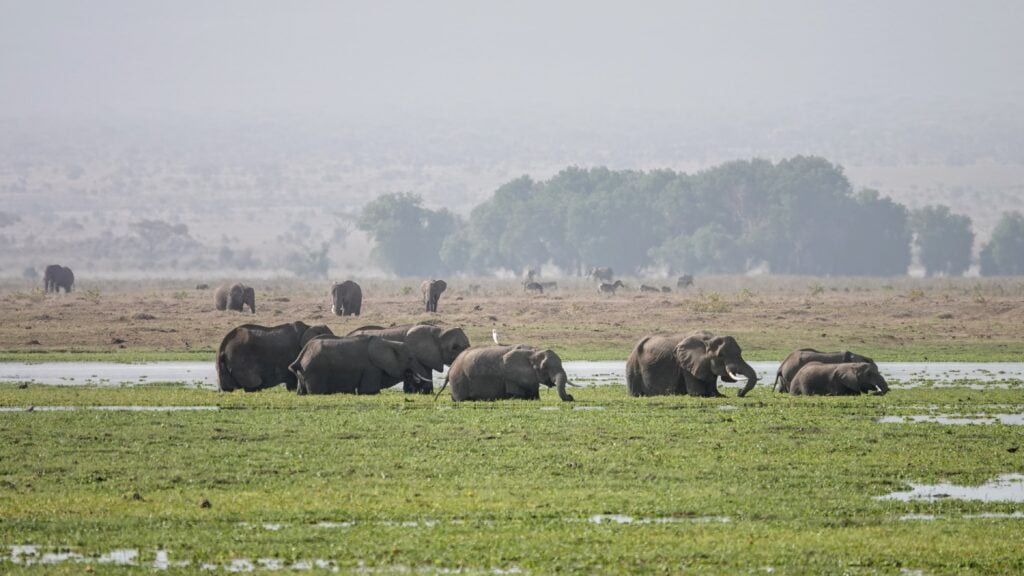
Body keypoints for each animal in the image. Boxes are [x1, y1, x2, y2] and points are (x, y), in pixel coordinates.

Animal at [288, 332, 432, 393]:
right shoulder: (371, 368)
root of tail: (300, 357)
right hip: (315, 371)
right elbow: (369, 391)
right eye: (410, 358)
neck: (388, 342)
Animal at [436, 342, 573, 401]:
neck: (534, 351)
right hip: (459, 379)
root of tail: (451, 366)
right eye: (544, 367)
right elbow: (518, 395)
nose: (571, 397)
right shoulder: (511, 377)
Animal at [622, 327, 761, 393]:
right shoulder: (686, 365)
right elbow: (698, 393)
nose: (739, 392)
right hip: (633, 367)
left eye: (740, 353)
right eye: (721, 355)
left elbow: (713, 392)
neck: (708, 340)